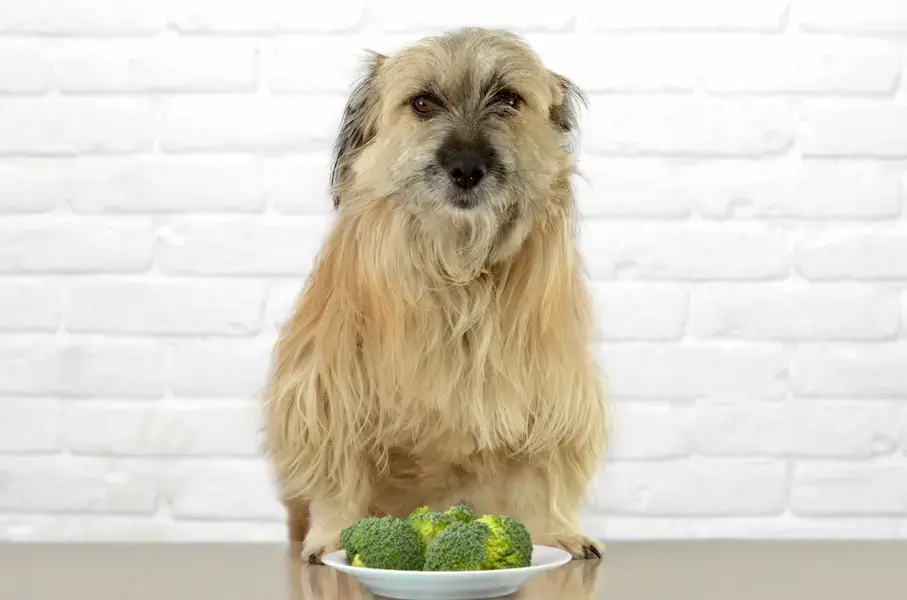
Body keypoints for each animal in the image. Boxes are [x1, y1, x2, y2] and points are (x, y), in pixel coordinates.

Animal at [262, 25, 608, 564]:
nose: (466, 169)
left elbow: (541, 471)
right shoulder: (327, 393)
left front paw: (556, 533)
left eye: (508, 98)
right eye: (423, 102)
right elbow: (339, 474)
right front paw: (332, 536)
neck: (458, 273)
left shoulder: (553, 396)